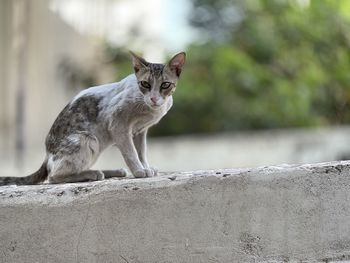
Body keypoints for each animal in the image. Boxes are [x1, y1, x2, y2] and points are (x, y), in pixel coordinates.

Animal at [0, 51, 186, 186]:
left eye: (165, 85)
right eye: (145, 84)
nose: (154, 99)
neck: (150, 109)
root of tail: (47, 154)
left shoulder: (140, 131)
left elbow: (142, 153)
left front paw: (145, 167)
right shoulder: (118, 125)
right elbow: (131, 153)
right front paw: (139, 171)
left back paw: (112, 172)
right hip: (88, 140)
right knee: (53, 176)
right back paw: (93, 174)